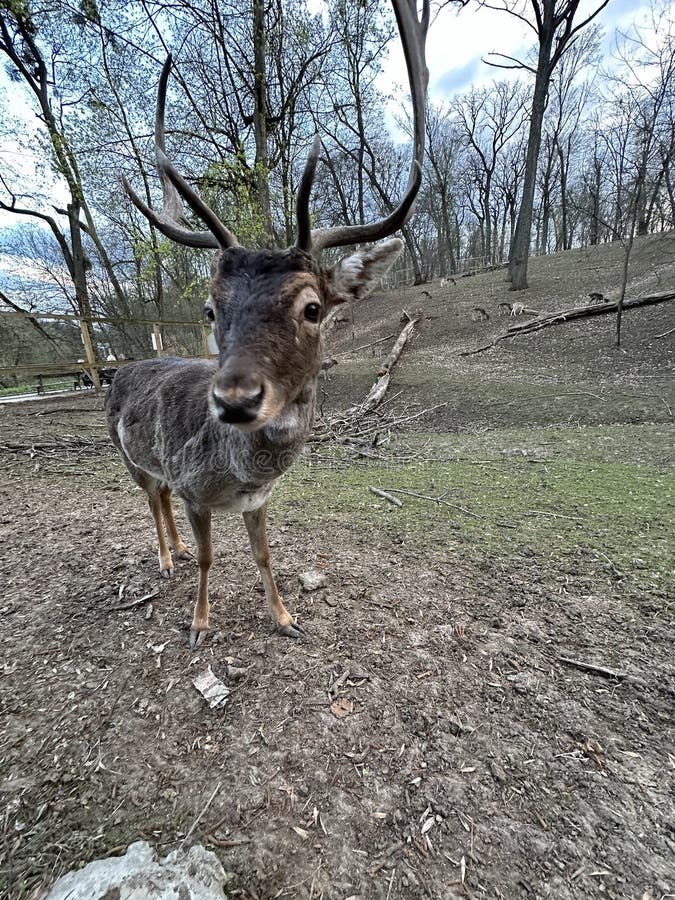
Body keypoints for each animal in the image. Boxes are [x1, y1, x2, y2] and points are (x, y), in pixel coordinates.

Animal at [108, 0, 430, 648]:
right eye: (211, 309)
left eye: (313, 308)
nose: (235, 399)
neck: (241, 473)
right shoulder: (195, 490)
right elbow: (213, 558)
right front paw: (199, 625)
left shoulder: (259, 500)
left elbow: (263, 554)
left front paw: (284, 617)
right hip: (128, 459)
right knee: (151, 499)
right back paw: (167, 557)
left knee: (159, 500)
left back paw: (175, 551)